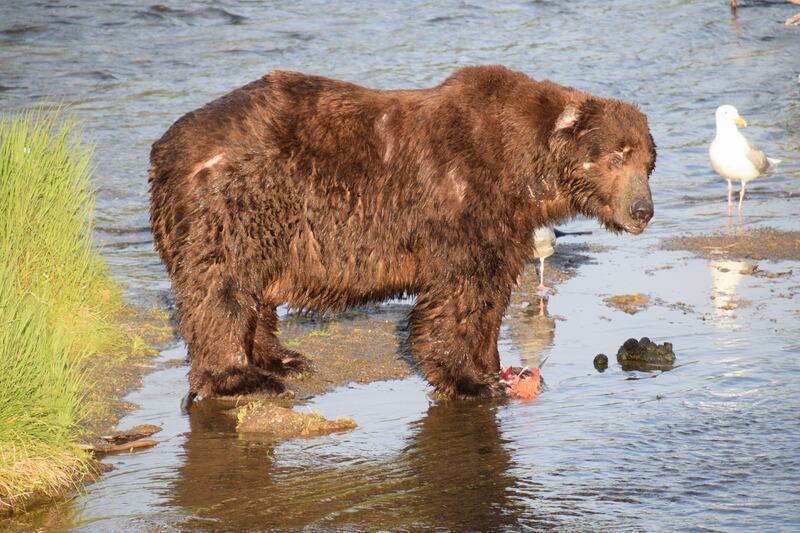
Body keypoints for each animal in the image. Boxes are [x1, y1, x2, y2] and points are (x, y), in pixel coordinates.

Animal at [150, 64, 656, 402]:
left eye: (647, 161)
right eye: (616, 155)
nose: (643, 210)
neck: (524, 170)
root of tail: (165, 148)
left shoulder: (508, 224)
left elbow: (492, 291)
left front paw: (491, 364)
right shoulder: (463, 198)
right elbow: (459, 290)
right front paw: (468, 379)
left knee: (252, 290)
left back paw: (283, 358)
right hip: (235, 203)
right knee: (222, 287)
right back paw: (242, 376)